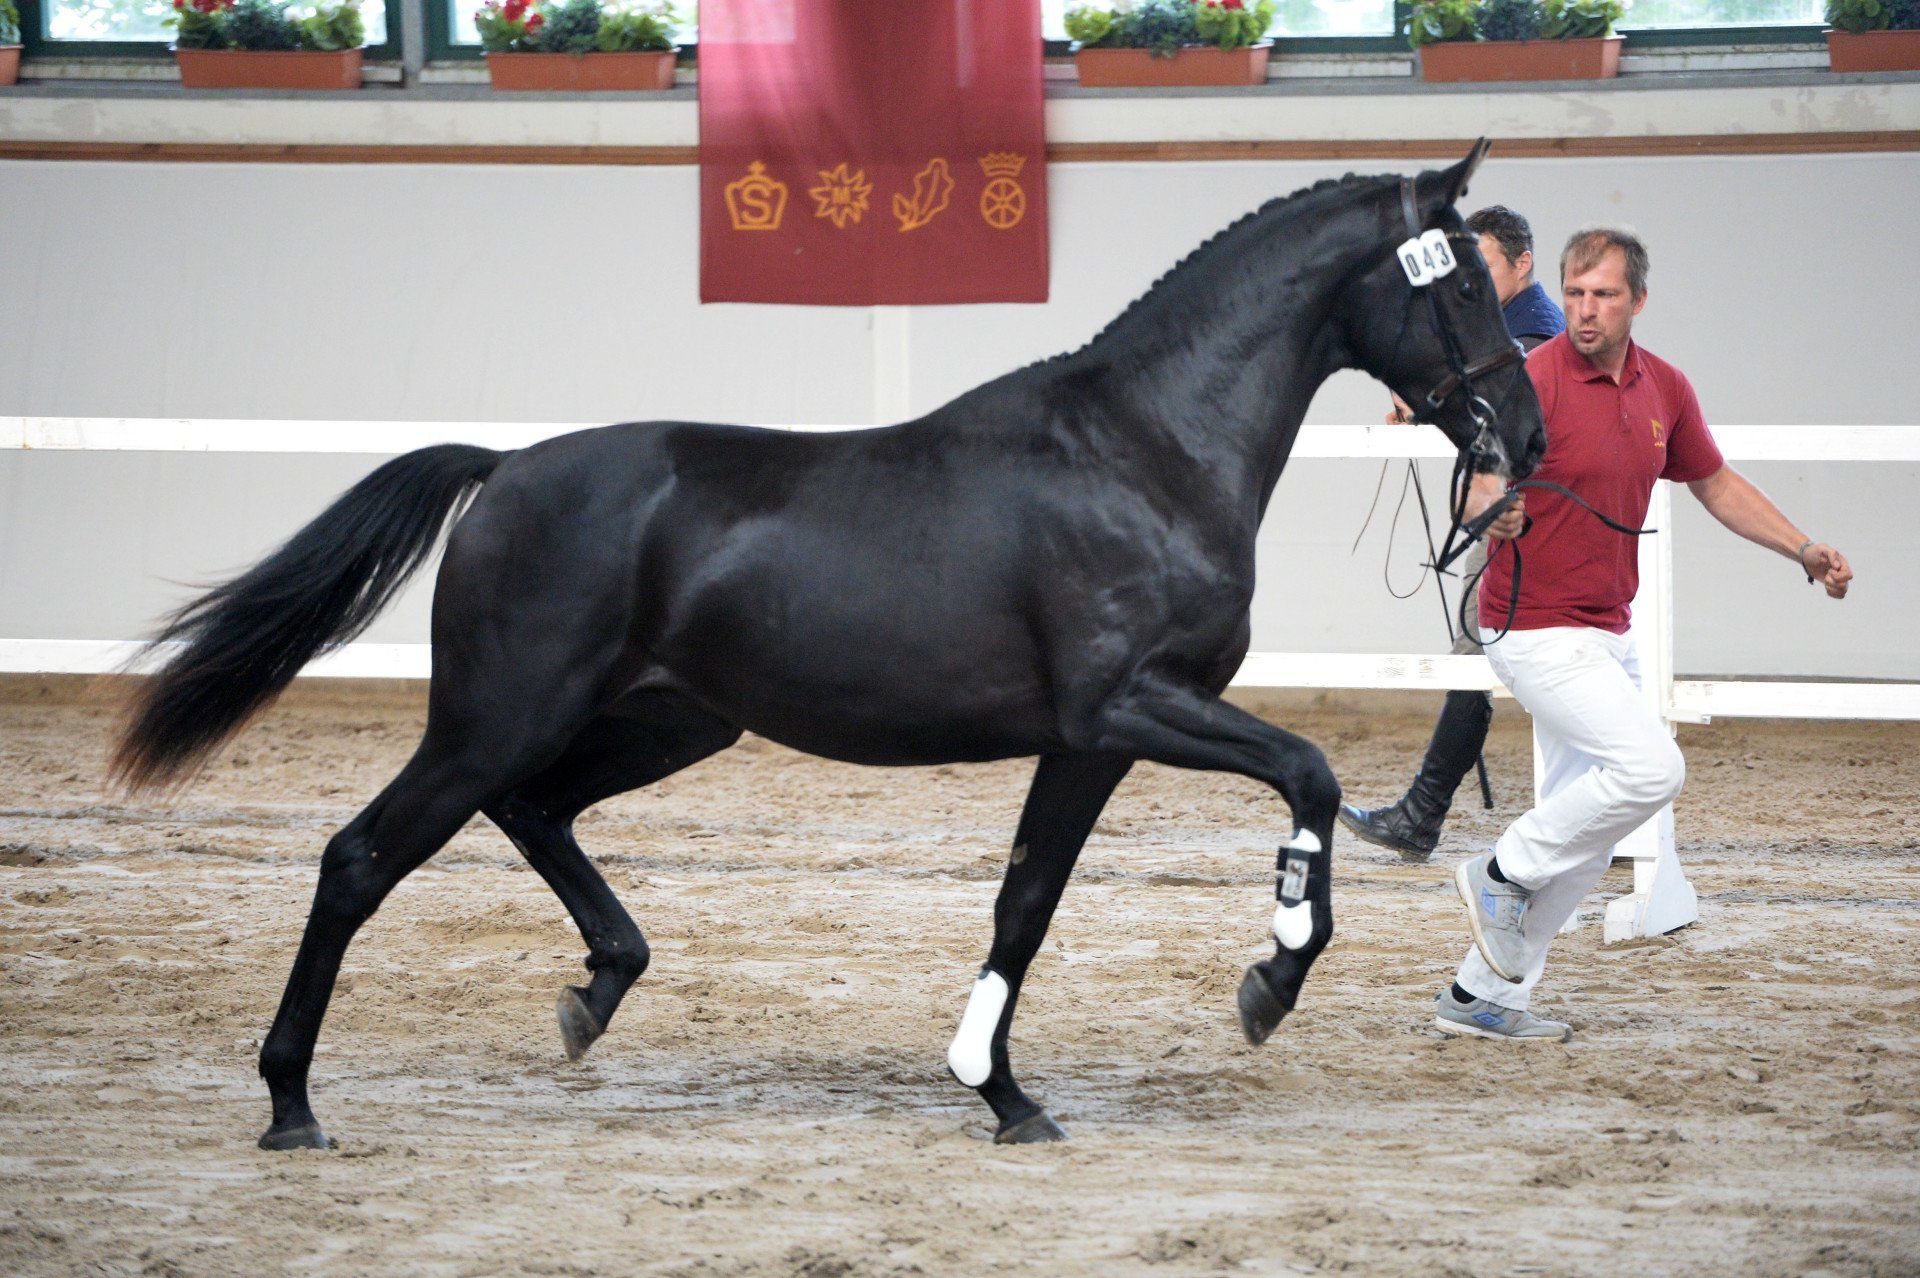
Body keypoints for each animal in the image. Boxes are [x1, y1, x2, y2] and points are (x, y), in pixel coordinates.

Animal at [112, 140, 1545, 1150]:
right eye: (1467, 285)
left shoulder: (1085, 743)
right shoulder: (1131, 708)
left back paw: (596, 992)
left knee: (535, 811)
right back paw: (292, 1104)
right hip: (493, 718)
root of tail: (506, 469)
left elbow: (1025, 902)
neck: (1140, 451)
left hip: (665, 721)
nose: (1526, 441)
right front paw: (1273, 973)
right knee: (360, 859)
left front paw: (1001, 1092)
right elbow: (1307, 771)